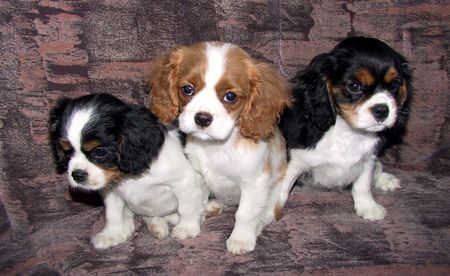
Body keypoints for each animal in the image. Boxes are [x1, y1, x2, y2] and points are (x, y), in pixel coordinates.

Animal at [48, 94, 207, 249]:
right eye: (67, 151)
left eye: (100, 152)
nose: (77, 175)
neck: (130, 175)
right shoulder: (112, 191)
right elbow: (113, 214)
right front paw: (111, 234)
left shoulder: (184, 182)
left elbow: (187, 207)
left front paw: (187, 228)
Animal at [148, 41, 292, 254]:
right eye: (187, 89)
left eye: (230, 96)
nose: (202, 119)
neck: (217, 147)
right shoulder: (197, 175)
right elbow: (191, 203)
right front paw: (188, 226)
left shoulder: (254, 183)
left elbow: (245, 214)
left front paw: (241, 239)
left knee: (269, 212)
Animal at [280, 36, 414, 221]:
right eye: (354, 86)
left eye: (394, 85)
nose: (382, 110)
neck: (347, 131)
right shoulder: (294, 161)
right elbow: (280, 190)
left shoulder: (367, 159)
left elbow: (363, 185)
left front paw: (368, 207)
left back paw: (384, 178)